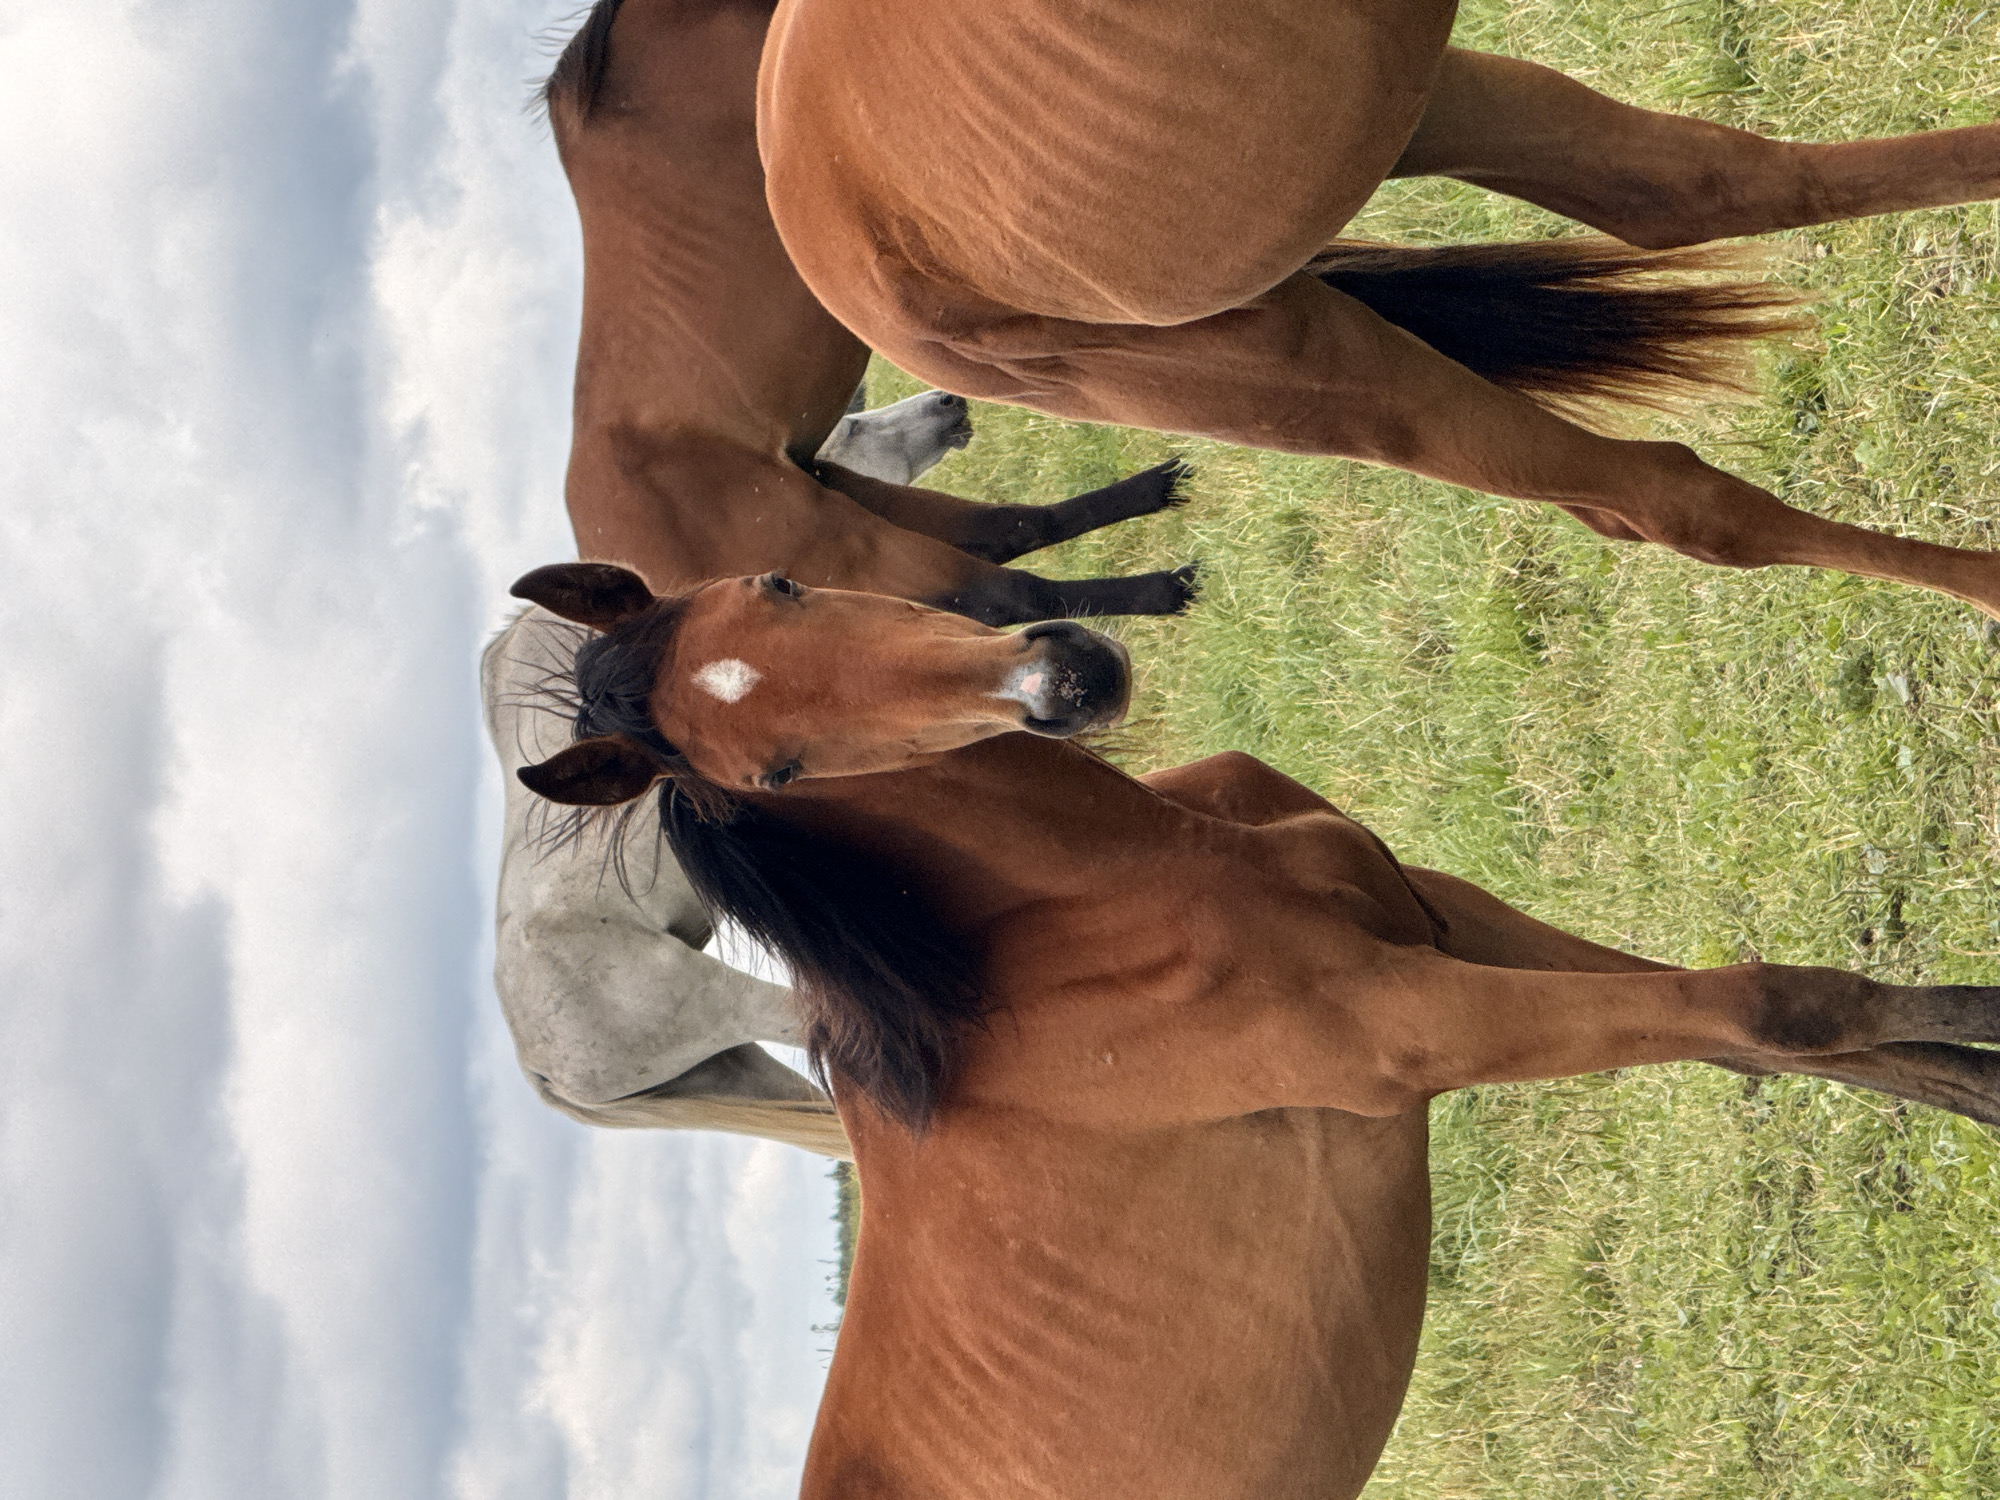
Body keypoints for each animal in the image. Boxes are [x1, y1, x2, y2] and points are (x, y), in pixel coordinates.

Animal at [510, 560, 2000, 1500]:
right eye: (775, 771)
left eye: (778, 583)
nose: (1060, 678)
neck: (1082, 923)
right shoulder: (1428, 1023)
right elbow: (1776, 1007)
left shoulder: (1431, 915)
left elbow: (1767, 1037)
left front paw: (1969, 1084)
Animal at [540, 0, 1199, 626]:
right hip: (851, 542)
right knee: (1008, 594)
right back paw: (1170, 587)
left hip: (856, 502)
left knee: (1009, 530)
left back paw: (1162, 490)